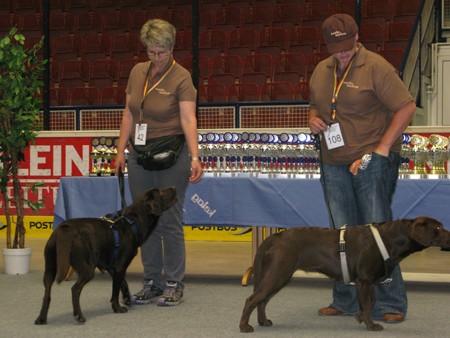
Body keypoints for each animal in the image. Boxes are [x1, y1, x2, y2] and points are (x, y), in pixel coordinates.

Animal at [35, 186, 177, 324]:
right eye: (160, 191)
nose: (175, 187)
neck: (132, 223)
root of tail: (64, 229)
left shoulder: (111, 266)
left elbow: (123, 283)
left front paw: (127, 298)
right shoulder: (120, 266)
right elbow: (115, 290)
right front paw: (118, 308)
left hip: (50, 268)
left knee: (46, 293)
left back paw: (41, 319)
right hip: (87, 268)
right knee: (75, 289)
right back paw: (79, 316)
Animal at [241, 217, 450, 332]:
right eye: (438, 228)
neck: (390, 239)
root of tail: (275, 237)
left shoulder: (367, 283)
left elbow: (369, 303)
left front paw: (361, 318)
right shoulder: (364, 281)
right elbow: (367, 305)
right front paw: (372, 326)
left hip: (278, 275)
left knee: (262, 300)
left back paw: (263, 321)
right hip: (278, 272)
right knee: (252, 299)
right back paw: (244, 327)